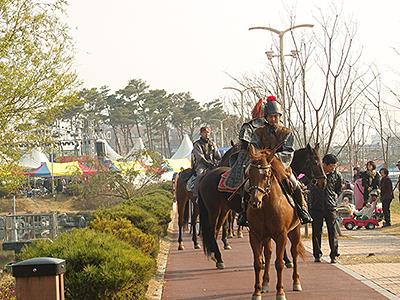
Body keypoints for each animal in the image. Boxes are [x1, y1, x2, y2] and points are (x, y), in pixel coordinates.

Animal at [198, 144, 326, 270]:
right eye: (315, 162)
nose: (323, 182)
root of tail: (205, 176)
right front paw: (285, 260)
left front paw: (268, 261)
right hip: (213, 210)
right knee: (211, 230)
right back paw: (219, 258)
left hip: (224, 210)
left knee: (216, 230)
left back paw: (215, 255)